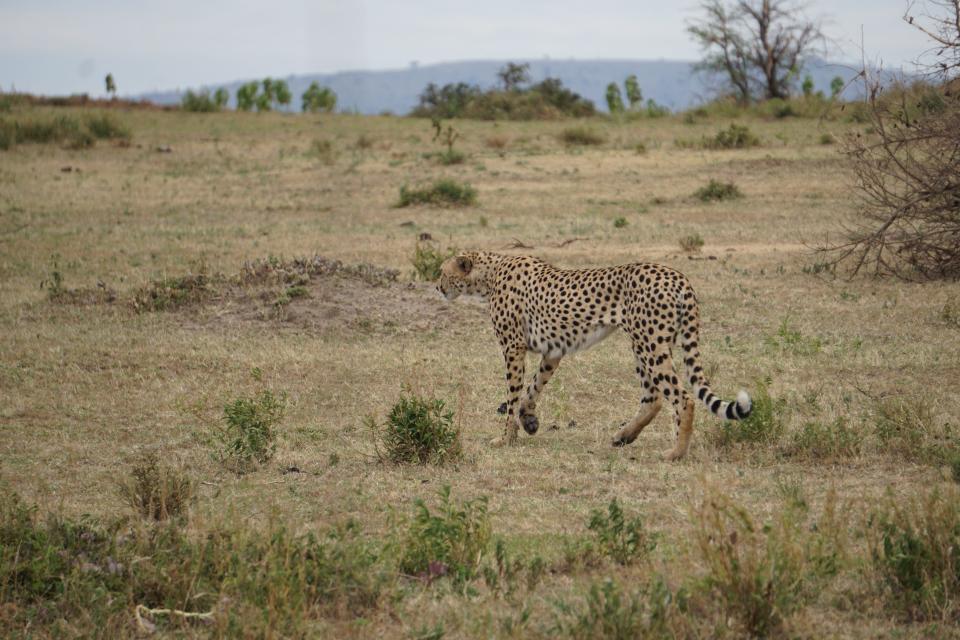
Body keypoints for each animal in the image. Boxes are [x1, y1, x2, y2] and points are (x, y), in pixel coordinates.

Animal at [438, 251, 752, 460]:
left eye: (442, 271)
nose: (438, 287)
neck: (489, 273)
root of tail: (678, 275)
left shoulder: (513, 347)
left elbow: (513, 394)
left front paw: (506, 438)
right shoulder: (552, 352)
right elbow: (533, 387)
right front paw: (529, 421)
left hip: (649, 343)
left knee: (682, 397)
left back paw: (675, 451)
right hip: (646, 343)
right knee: (654, 397)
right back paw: (624, 435)